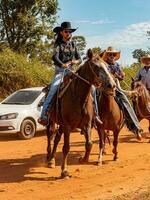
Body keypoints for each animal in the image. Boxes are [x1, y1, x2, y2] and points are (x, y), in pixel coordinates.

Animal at [46, 50, 115, 178]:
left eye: (107, 66)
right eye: (96, 67)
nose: (111, 85)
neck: (78, 97)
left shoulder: (87, 124)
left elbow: (89, 144)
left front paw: (83, 159)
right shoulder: (67, 126)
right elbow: (66, 147)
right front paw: (64, 171)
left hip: (61, 124)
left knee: (57, 138)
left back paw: (52, 159)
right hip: (52, 121)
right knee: (51, 135)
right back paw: (49, 159)